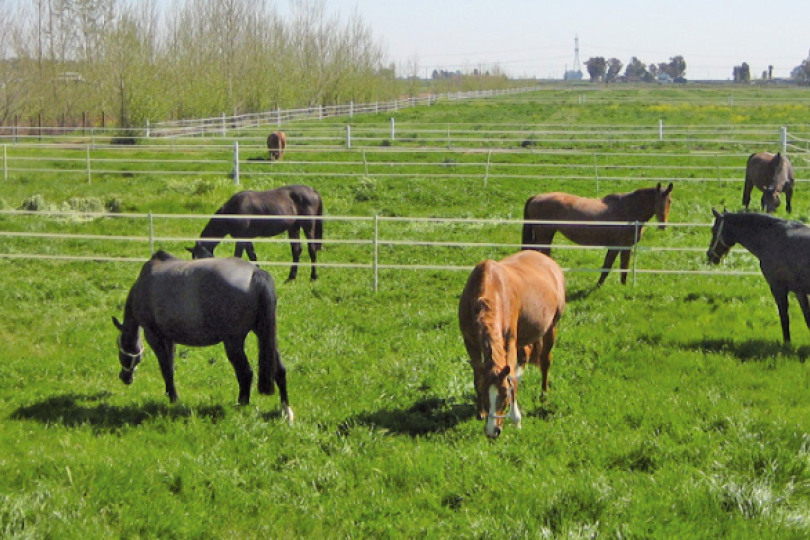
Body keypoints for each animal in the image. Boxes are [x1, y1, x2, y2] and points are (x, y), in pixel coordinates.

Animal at [112, 251, 293, 419]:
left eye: (120, 346)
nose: (124, 377)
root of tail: (255, 273)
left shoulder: (154, 337)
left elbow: (166, 369)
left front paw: (173, 398)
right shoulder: (169, 339)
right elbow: (170, 366)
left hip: (233, 343)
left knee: (246, 373)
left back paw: (241, 405)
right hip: (265, 335)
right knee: (280, 370)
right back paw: (286, 411)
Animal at [187, 184, 323, 282]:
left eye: (201, 259)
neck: (234, 209)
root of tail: (313, 191)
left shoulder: (241, 239)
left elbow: (238, 256)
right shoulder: (247, 239)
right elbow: (253, 256)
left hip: (308, 226)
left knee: (312, 249)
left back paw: (313, 277)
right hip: (293, 228)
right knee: (296, 250)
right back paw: (291, 278)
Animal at [458, 250, 565, 439]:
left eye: (505, 396)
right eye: (485, 396)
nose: (492, 431)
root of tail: (548, 261)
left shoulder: (509, 341)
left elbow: (512, 378)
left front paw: (516, 419)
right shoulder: (470, 342)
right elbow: (478, 376)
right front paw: (480, 412)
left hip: (551, 328)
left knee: (545, 361)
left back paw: (544, 394)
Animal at [522, 182, 674, 287]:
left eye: (670, 201)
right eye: (656, 200)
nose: (663, 225)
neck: (628, 209)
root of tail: (536, 197)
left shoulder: (626, 247)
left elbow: (623, 267)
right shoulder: (617, 246)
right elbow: (608, 267)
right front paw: (598, 286)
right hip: (545, 236)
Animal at [707, 209, 810, 344]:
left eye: (714, 229)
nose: (710, 255)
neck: (775, 238)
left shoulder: (778, 288)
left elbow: (784, 317)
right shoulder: (799, 291)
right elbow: (807, 318)